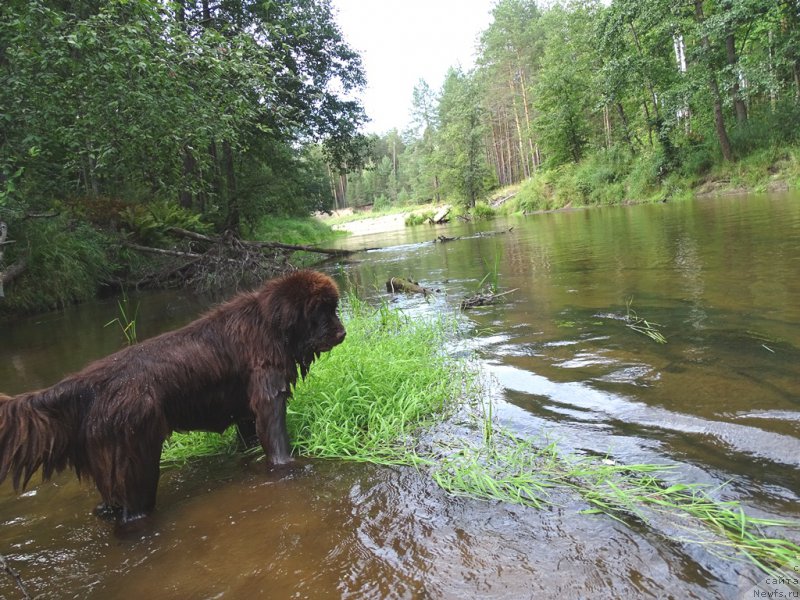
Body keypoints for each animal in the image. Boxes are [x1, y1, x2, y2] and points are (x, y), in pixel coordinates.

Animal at [0, 270, 344, 524]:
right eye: (320, 311)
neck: (270, 323)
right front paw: (289, 469)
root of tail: (87, 382)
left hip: (107, 465)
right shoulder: (267, 393)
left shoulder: (246, 410)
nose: (342, 333)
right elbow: (277, 443)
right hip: (136, 464)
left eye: (334, 309)